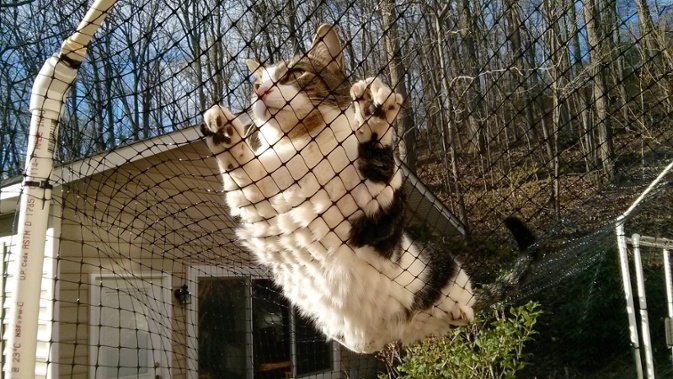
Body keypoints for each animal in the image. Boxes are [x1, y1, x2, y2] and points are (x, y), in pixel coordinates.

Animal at [200, 25, 536, 354]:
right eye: (257, 82)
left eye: (295, 72)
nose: (261, 91)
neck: (305, 146)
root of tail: (394, 333)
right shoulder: (258, 208)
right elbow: (241, 171)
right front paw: (223, 131)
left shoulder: (377, 222)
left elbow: (379, 166)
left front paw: (373, 116)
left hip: (441, 264)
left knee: (464, 302)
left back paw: (459, 311)